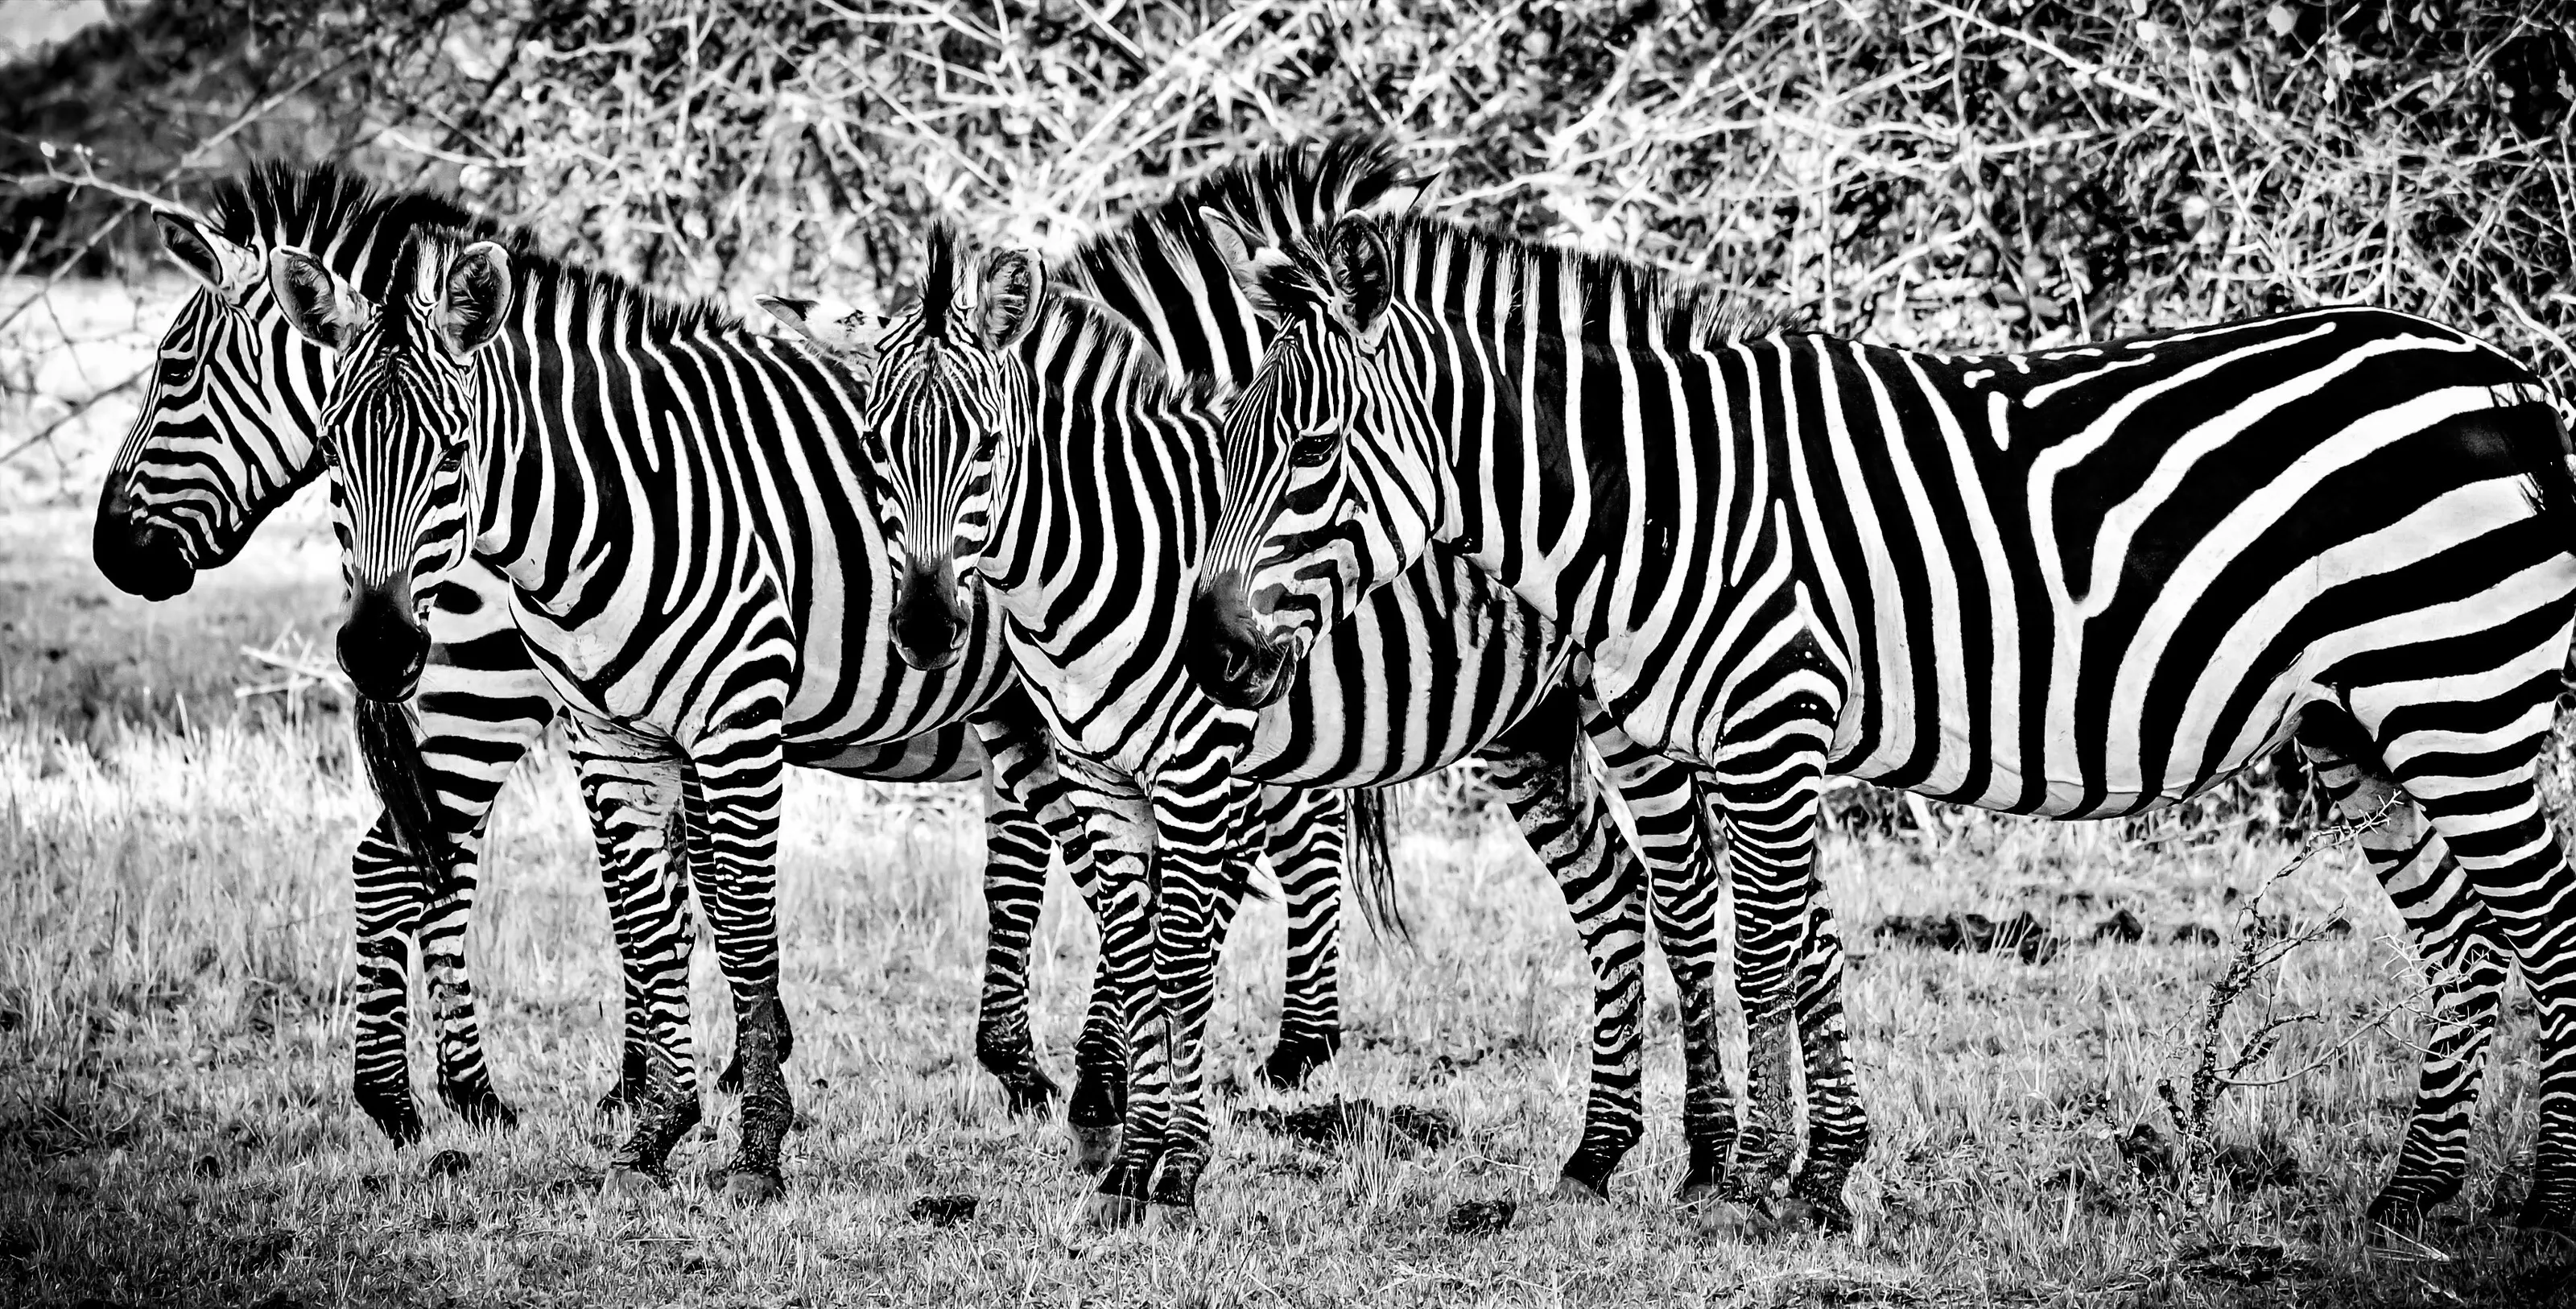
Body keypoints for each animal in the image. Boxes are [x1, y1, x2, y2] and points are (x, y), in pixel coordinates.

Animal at [91, 164, 1379, 1153]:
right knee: (406, 863)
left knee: (413, 862)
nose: (114, 553)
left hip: (472, 693)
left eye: (172, 373)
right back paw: (431, 1096)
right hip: (476, 695)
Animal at [777, 198, 1859, 1225]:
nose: (924, 629)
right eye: (871, 451)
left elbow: (1178, 959)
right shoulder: (1099, 773)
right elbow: (1130, 951)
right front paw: (1126, 1166)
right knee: (1619, 891)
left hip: (1646, 714)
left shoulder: (1200, 765)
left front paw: (1173, 1168)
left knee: (1688, 897)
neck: (1103, 545)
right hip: (1536, 726)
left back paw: (1713, 1158)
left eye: (988, 449)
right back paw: (1601, 1155)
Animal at [1183, 134, 2576, 1232]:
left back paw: (2544, 1203)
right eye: (1226, 441)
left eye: (1311, 450)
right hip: (2360, 722)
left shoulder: (1770, 721)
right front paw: (1803, 1170)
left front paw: (1765, 1179)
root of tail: (2500, 373)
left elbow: (1763, 952)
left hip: (2461, 688)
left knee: (2543, 920)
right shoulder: (1741, 742)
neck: (1657, 499)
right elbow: (1792, 946)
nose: (1209, 652)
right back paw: (2411, 1194)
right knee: (2461, 937)